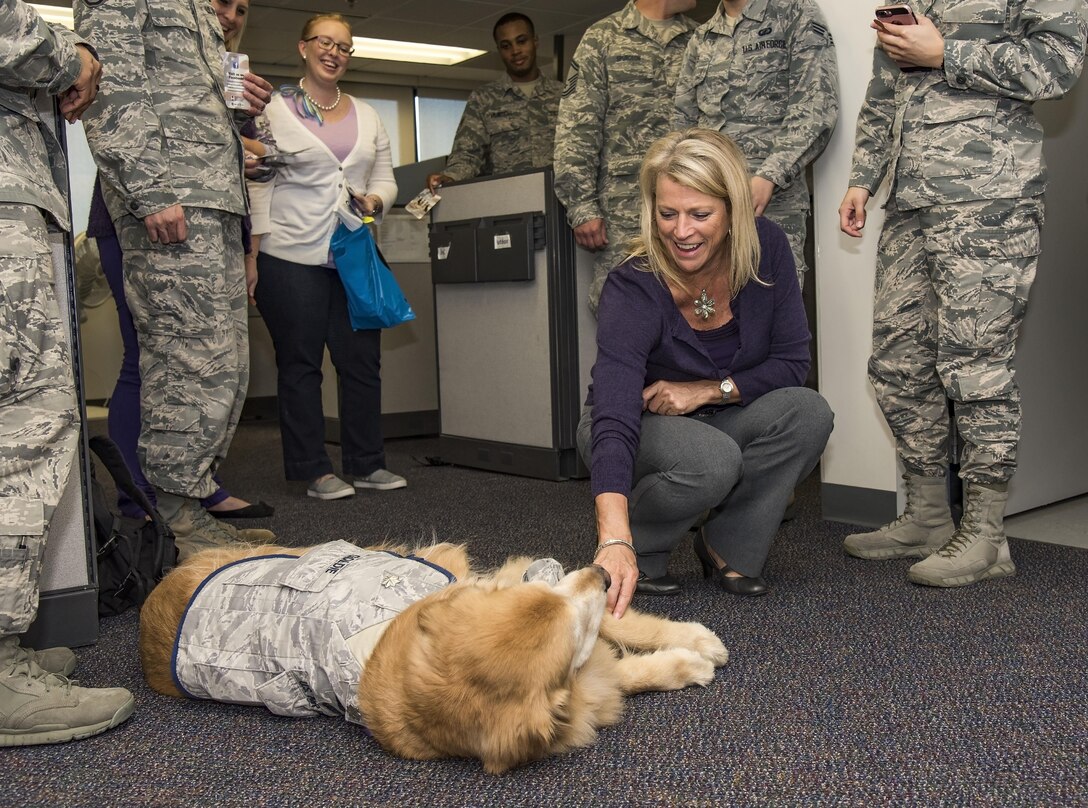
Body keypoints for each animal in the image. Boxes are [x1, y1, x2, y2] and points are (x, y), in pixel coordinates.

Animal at [140, 539, 726, 774]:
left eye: (542, 597)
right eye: (567, 626)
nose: (604, 573)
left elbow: (626, 625)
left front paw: (696, 640)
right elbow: (624, 668)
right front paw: (689, 662)